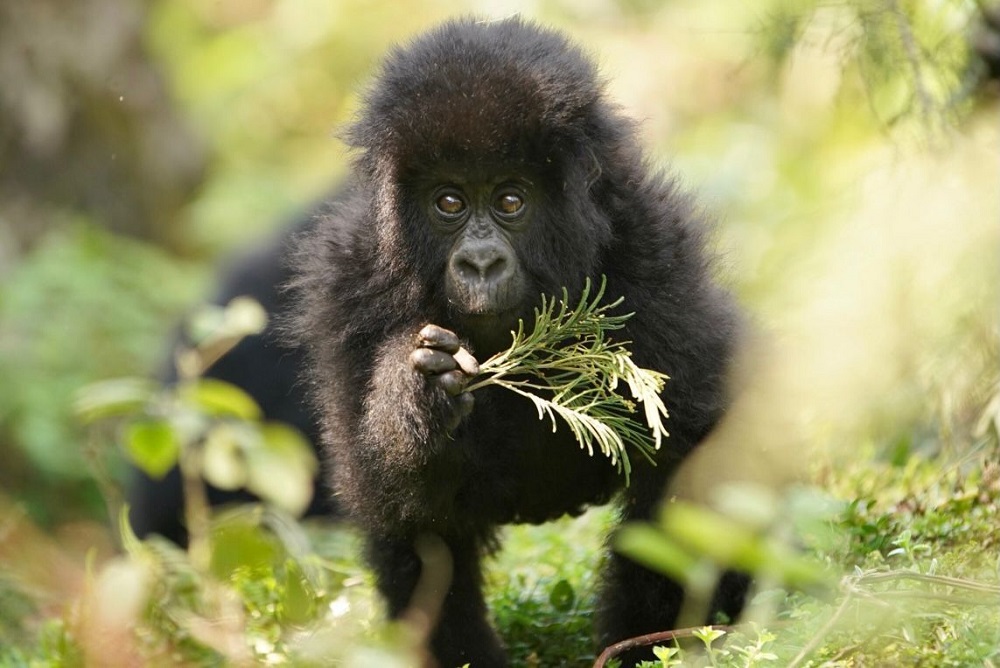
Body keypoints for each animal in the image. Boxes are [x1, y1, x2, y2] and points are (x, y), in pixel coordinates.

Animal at [290, 15, 744, 668]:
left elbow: (686, 461)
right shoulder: (349, 281)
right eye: (448, 202)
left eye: (510, 200)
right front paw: (416, 392)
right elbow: (391, 498)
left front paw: (644, 647)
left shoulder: (653, 254)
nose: (479, 262)